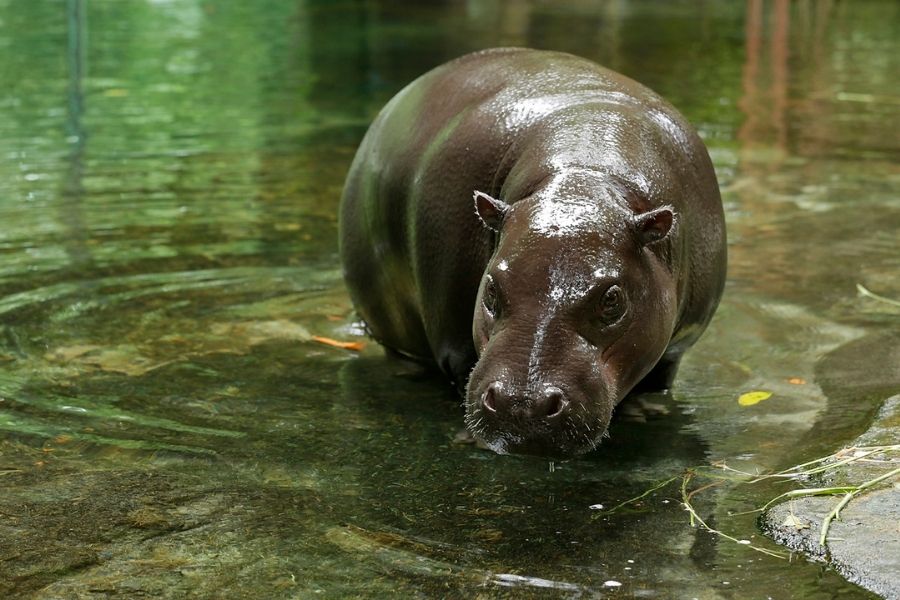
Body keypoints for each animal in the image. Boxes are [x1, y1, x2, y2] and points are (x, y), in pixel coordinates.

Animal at [339, 48, 726, 456]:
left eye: (612, 300)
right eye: (491, 287)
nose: (522, 405)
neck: (585, 172)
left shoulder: (680, 342)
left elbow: (660, 375)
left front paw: (645, 411)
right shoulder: (454, 334)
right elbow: (463, 366)